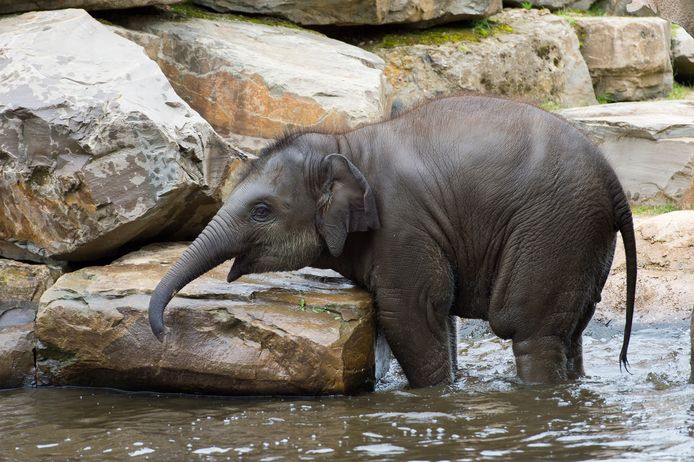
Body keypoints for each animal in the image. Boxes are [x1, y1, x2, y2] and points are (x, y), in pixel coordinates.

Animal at [150, 95, 640, 388]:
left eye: (261, 211)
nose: (161, 332)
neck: (346, 143)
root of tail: (616, 185)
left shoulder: (404, 226)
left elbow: (410, 311)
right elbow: (440, 315)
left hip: (554, 228)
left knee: (528, 329)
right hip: (581, 240)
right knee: (570, 331)